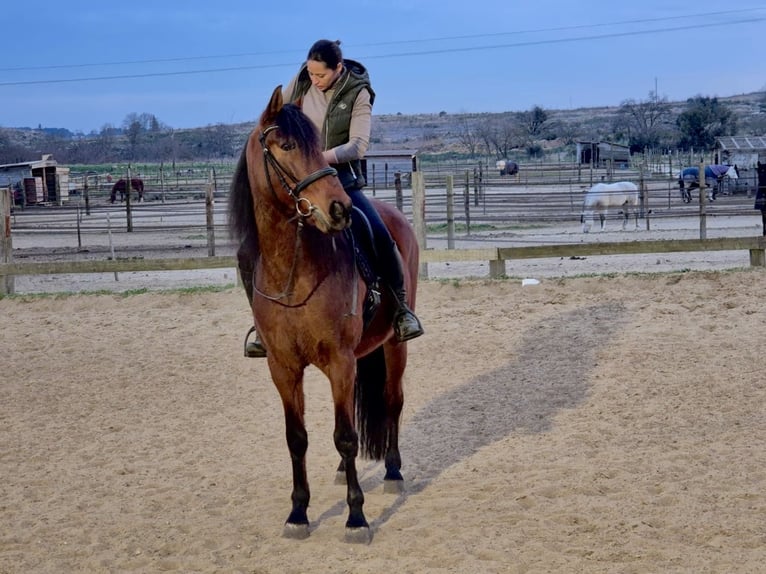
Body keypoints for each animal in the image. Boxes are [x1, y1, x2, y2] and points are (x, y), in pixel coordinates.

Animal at [228, 85, 420, 544]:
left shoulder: (340, 361)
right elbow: (297, 438)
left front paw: (356, 517)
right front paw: (298, 513)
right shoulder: (283, 368)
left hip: (394, 347)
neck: (293, 271)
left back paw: (392, 472)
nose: (339, 209)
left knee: (393, 401)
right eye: (286, 145)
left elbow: (346, 437)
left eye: (319, 146)